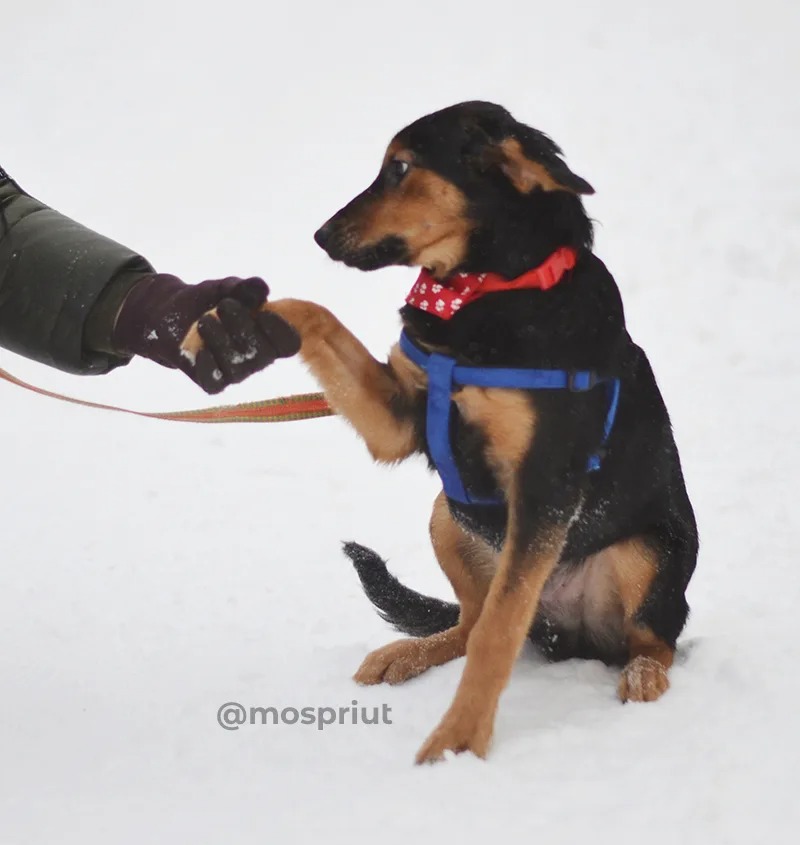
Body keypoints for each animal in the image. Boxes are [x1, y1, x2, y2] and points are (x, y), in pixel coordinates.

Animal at [181, 100, 692, 764]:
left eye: (400, 167)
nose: (319, 235)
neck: (488, 290)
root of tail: (567, 635)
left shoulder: (546, 486)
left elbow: (499, 632)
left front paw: (458, 743)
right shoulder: (400, 418)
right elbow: (317, 313)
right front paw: (223, 323)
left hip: (646, 552)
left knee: (652, 639)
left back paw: (642, 677)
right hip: (446, 515)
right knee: (467, 622)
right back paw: (408, 654)